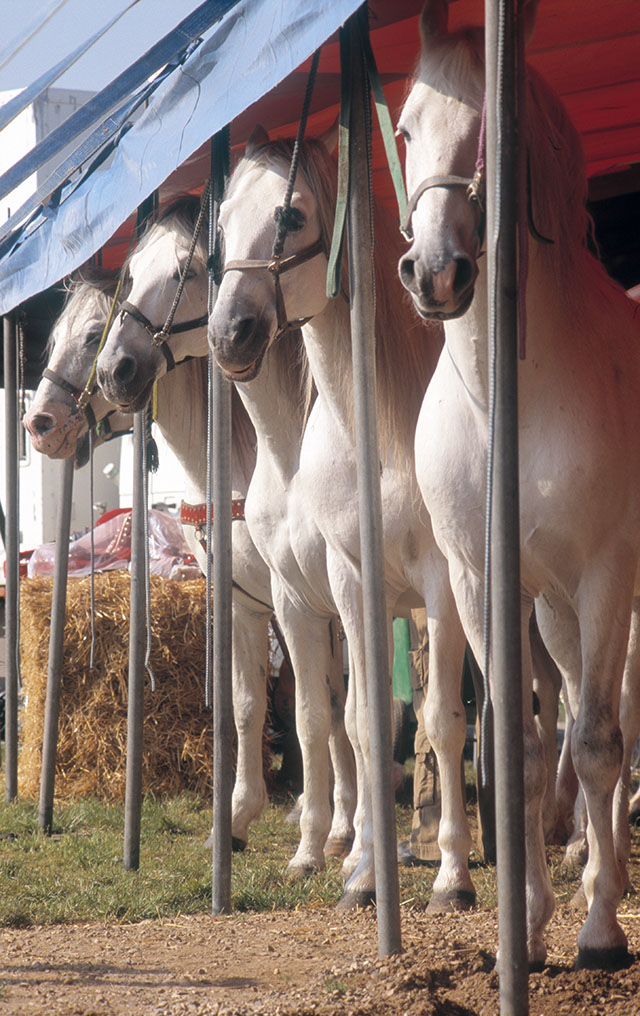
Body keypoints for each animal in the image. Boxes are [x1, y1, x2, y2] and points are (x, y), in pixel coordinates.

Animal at [93, 206, 359, 873]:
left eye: (187, 270)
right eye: (131, 272)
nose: (114, 371)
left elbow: (336, 709)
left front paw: (335, 832)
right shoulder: (248, 605)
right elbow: (253, 706)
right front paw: (240, 821)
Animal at [208, 131, 473, 910]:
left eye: (291, 215)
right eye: (219, 226)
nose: (229, 334)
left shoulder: (441, 586)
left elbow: (440, 722)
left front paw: (451, 876)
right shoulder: (350, 587)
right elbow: (353, 721)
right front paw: (355, 866)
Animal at [398, 0, 640, 967]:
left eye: (492, 130)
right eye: (405, 128)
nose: (436, 273)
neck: (511, 402)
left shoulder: (608, 571)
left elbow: (601, 744)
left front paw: (601, 932)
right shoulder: (485, 583)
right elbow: (526, 750)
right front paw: (526, 931)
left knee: (610, 723)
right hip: (559, 615)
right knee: (573, 713)